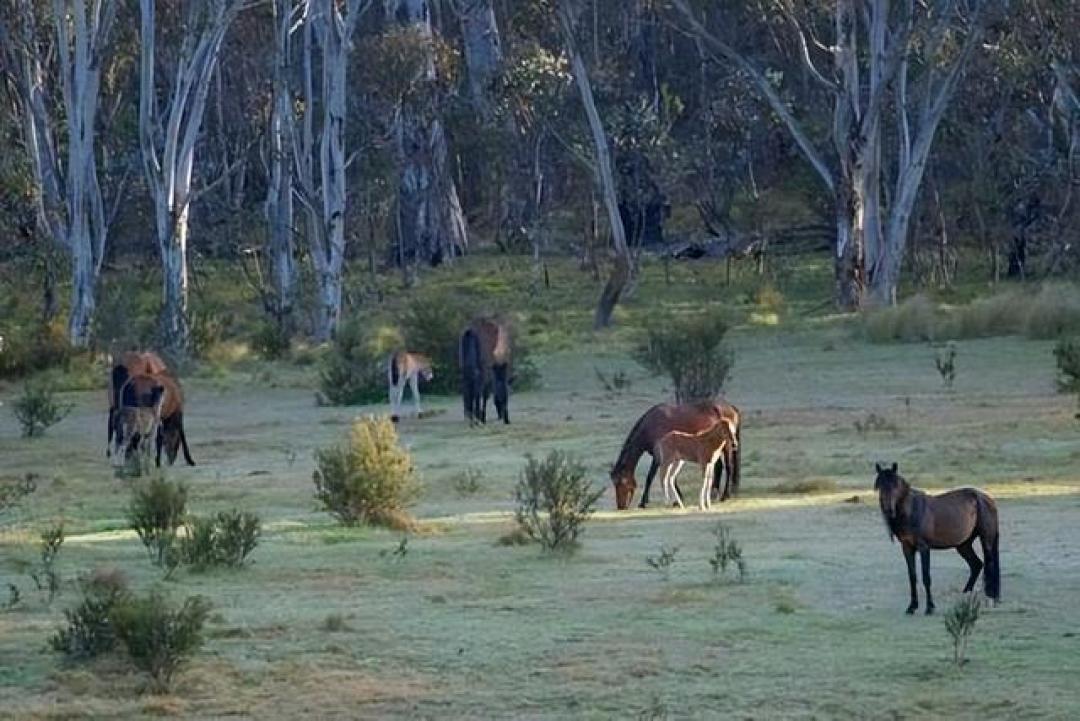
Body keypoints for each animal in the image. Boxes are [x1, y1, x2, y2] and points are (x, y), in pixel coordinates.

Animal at [610, 401, 741, 510]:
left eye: (621, 483)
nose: (621, 507)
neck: (651, 425)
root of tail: (731, 408)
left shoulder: (658, 457)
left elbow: (650, 477)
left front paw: (643, 502)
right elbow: (671, 477)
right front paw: (677, 499)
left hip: (727, 446)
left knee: (729, 467)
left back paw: (725, 495)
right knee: (719, 467)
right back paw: (714, 493)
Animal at [873, 463, 1000, 615]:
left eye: (896, 486)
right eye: (880, 486)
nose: (888, 510)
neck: (913, 511)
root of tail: (988, 499)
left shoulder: (924, 548)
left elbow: (926, 576)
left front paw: (929, 607)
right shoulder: (907, 547)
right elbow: (912, 576)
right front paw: (912, 606)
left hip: (986, 540)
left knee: (989, 565)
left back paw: (991, 597)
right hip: (963, 545)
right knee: (976, 565)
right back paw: (966, 595)